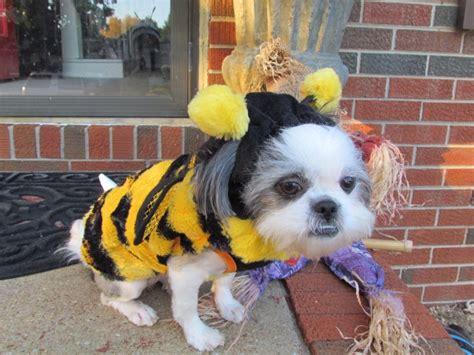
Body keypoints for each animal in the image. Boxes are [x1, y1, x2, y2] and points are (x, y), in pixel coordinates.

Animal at [64, 70, 374, 354]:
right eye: (289, 186)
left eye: (348, 183)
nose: (328, 205)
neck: (243, 221)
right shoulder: (187, 271)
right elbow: (187, 309)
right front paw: (199, 335)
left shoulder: (232, 258)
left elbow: (224, 283)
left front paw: (226, 305)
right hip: (130, 277)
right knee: (111, 298)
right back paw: (137, 309)